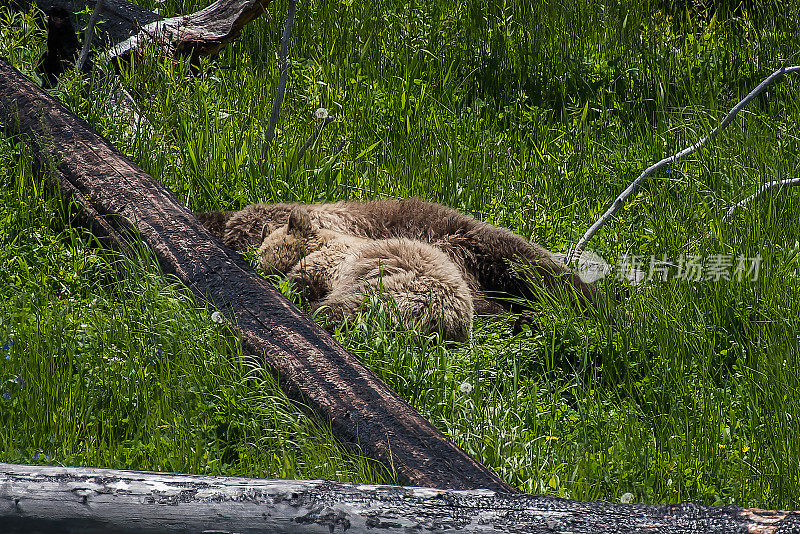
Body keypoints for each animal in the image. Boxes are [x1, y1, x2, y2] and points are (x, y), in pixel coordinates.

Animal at [262, 207, 476, 342]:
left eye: (263, 252)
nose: (260, 266)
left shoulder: (333, 260)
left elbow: (303, 279)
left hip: (392, 289)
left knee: (349, 307)